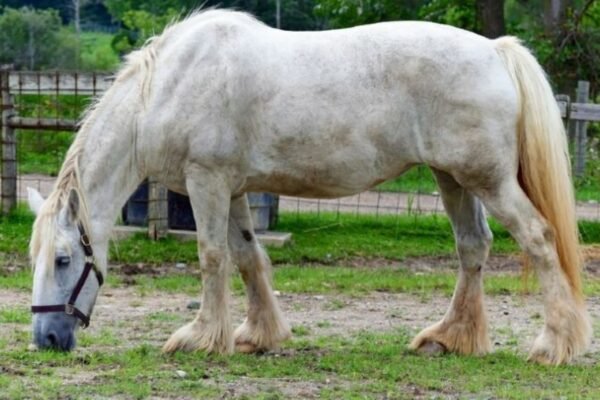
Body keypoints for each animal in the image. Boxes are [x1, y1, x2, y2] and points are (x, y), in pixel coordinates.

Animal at [27, 9, 592, 366]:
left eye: (62, 259)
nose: (46, 337)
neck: (165, 87)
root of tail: (496, 51)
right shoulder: (233, 189)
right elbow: (248, 257)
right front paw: (259, 335)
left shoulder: (206, 181)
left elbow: (212, 257)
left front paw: (201, 338)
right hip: (453, 178)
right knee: (473, 247)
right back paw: (449, 339)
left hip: (487, 180)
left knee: (539, 240)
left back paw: (552, 346)